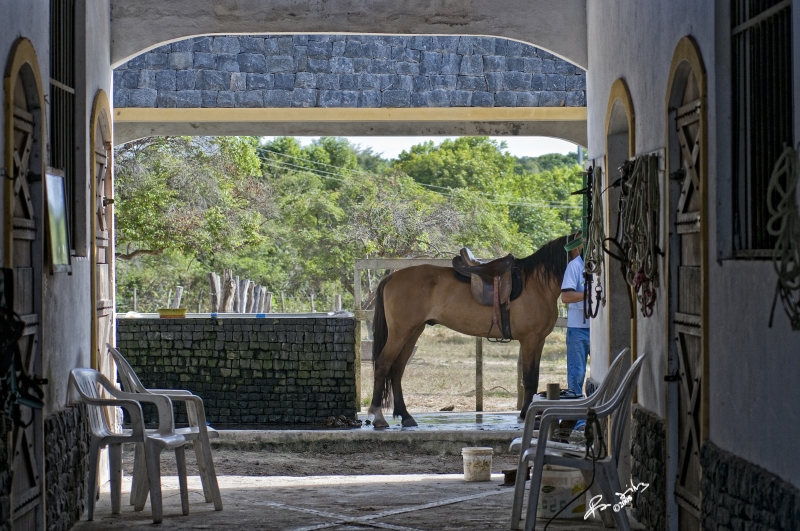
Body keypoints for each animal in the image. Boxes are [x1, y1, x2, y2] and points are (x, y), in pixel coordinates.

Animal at [368, 235, 576, 430]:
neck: (537, 284)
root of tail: (392, 277)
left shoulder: (539, 340)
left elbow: (534, 377)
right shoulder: (530, 340)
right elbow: (530, 379)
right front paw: (526, 415)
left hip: (412, 332)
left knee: (397, 368)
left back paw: (405, 416)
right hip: (400, 332)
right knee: (383, 364)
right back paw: (378, 417)